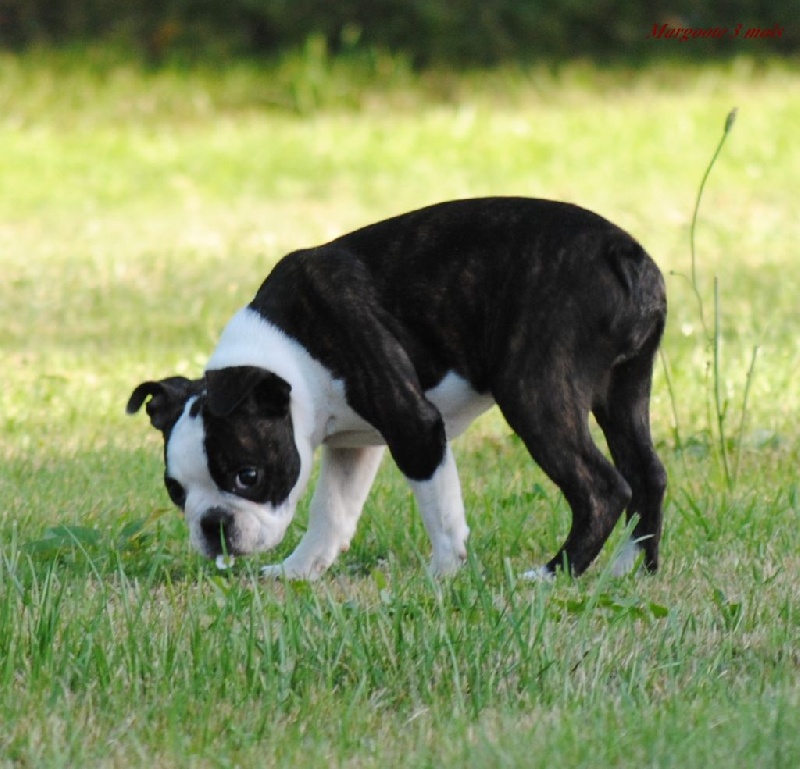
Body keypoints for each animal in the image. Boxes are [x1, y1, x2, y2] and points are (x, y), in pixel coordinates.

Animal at [128, 198, 664, 576]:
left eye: (248, 476)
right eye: (175, 491)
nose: (213, 525)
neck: (292, 348)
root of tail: (623, 250)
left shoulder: (415, 427)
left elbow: (440, 511)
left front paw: (443, 574)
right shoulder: (353, 445)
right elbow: (332, 511)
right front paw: (298, 571)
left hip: (534, 391)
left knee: (602, 489)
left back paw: (555, 574)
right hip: (624, 390)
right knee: (648, 473)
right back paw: (632, 569)